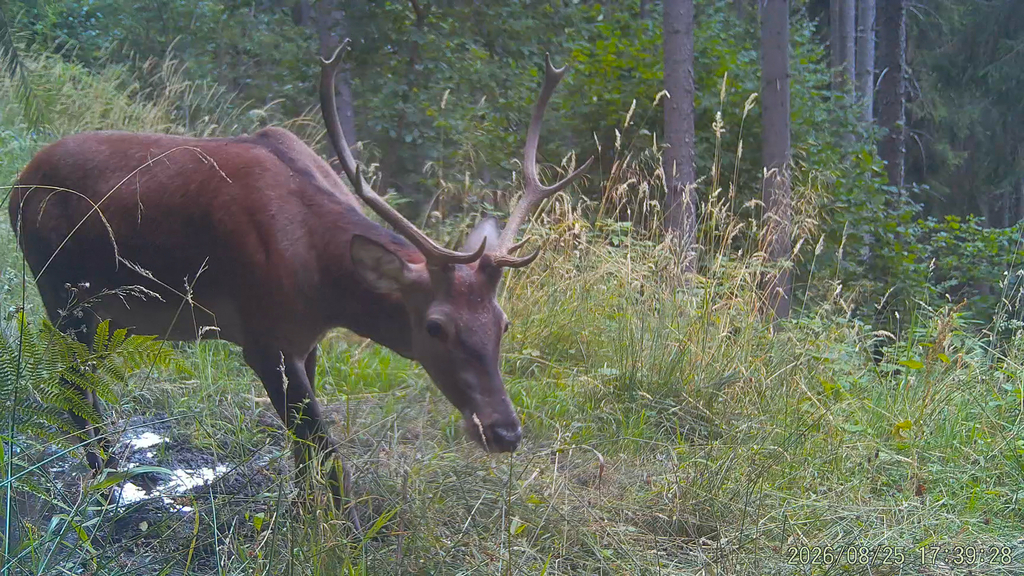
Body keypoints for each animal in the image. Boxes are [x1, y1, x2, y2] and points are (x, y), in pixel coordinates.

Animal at [7, 42, 592, 523]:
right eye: (434, 326)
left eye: (503, 322)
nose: (504, 431)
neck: (320, 280)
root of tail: (17, 187)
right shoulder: (260, 338)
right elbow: (326, 449)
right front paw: (346, 532)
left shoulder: (306, 341)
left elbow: (301, 446)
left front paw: (302, 513)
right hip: (60, 292)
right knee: (71, 384)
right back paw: (108, 486)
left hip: (99, 311)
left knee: (83, 382)